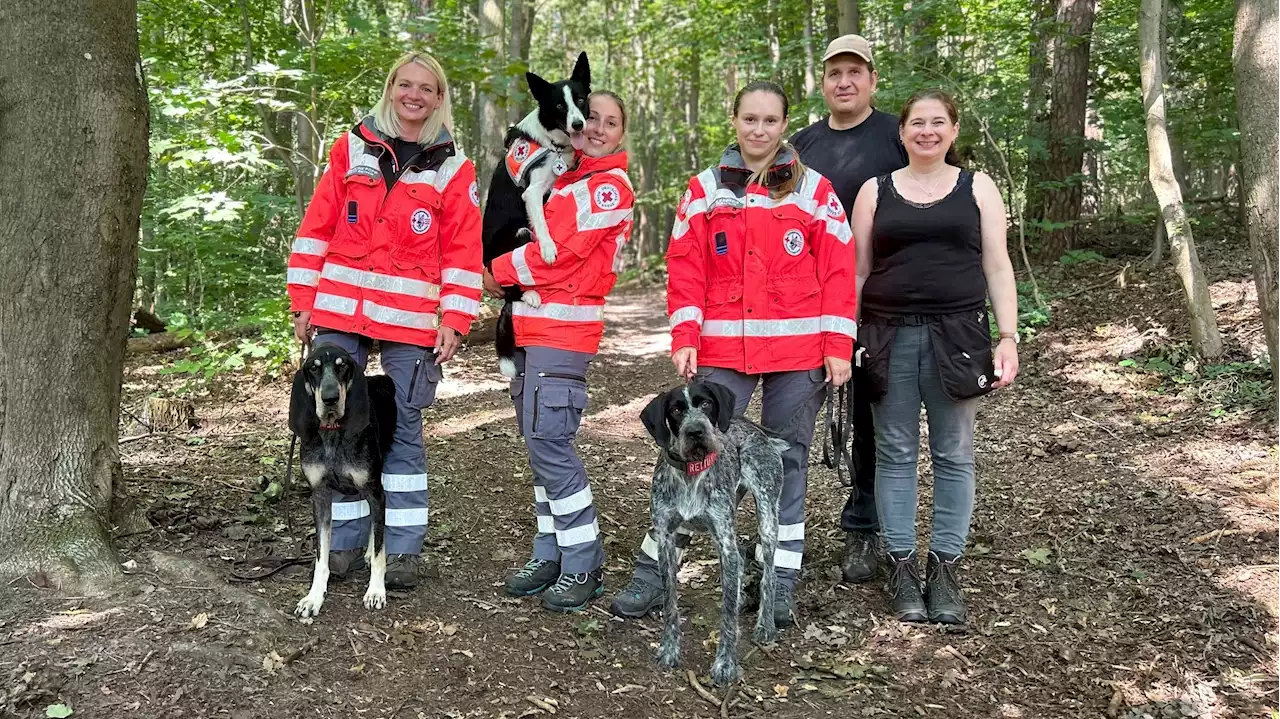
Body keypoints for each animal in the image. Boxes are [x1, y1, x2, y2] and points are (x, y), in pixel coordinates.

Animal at [640, 378, 788, 680]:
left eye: (706, 404)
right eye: (675, 410)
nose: (696, 431)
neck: (691, 471)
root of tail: (759, 432)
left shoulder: (724, 542)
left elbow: (727, 615)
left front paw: (725, 664)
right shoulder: (666, 540)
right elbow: (671, 604)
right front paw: (669, 650)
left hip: (767, 517)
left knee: (770, 574)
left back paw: (765, 625)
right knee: (743, 558)